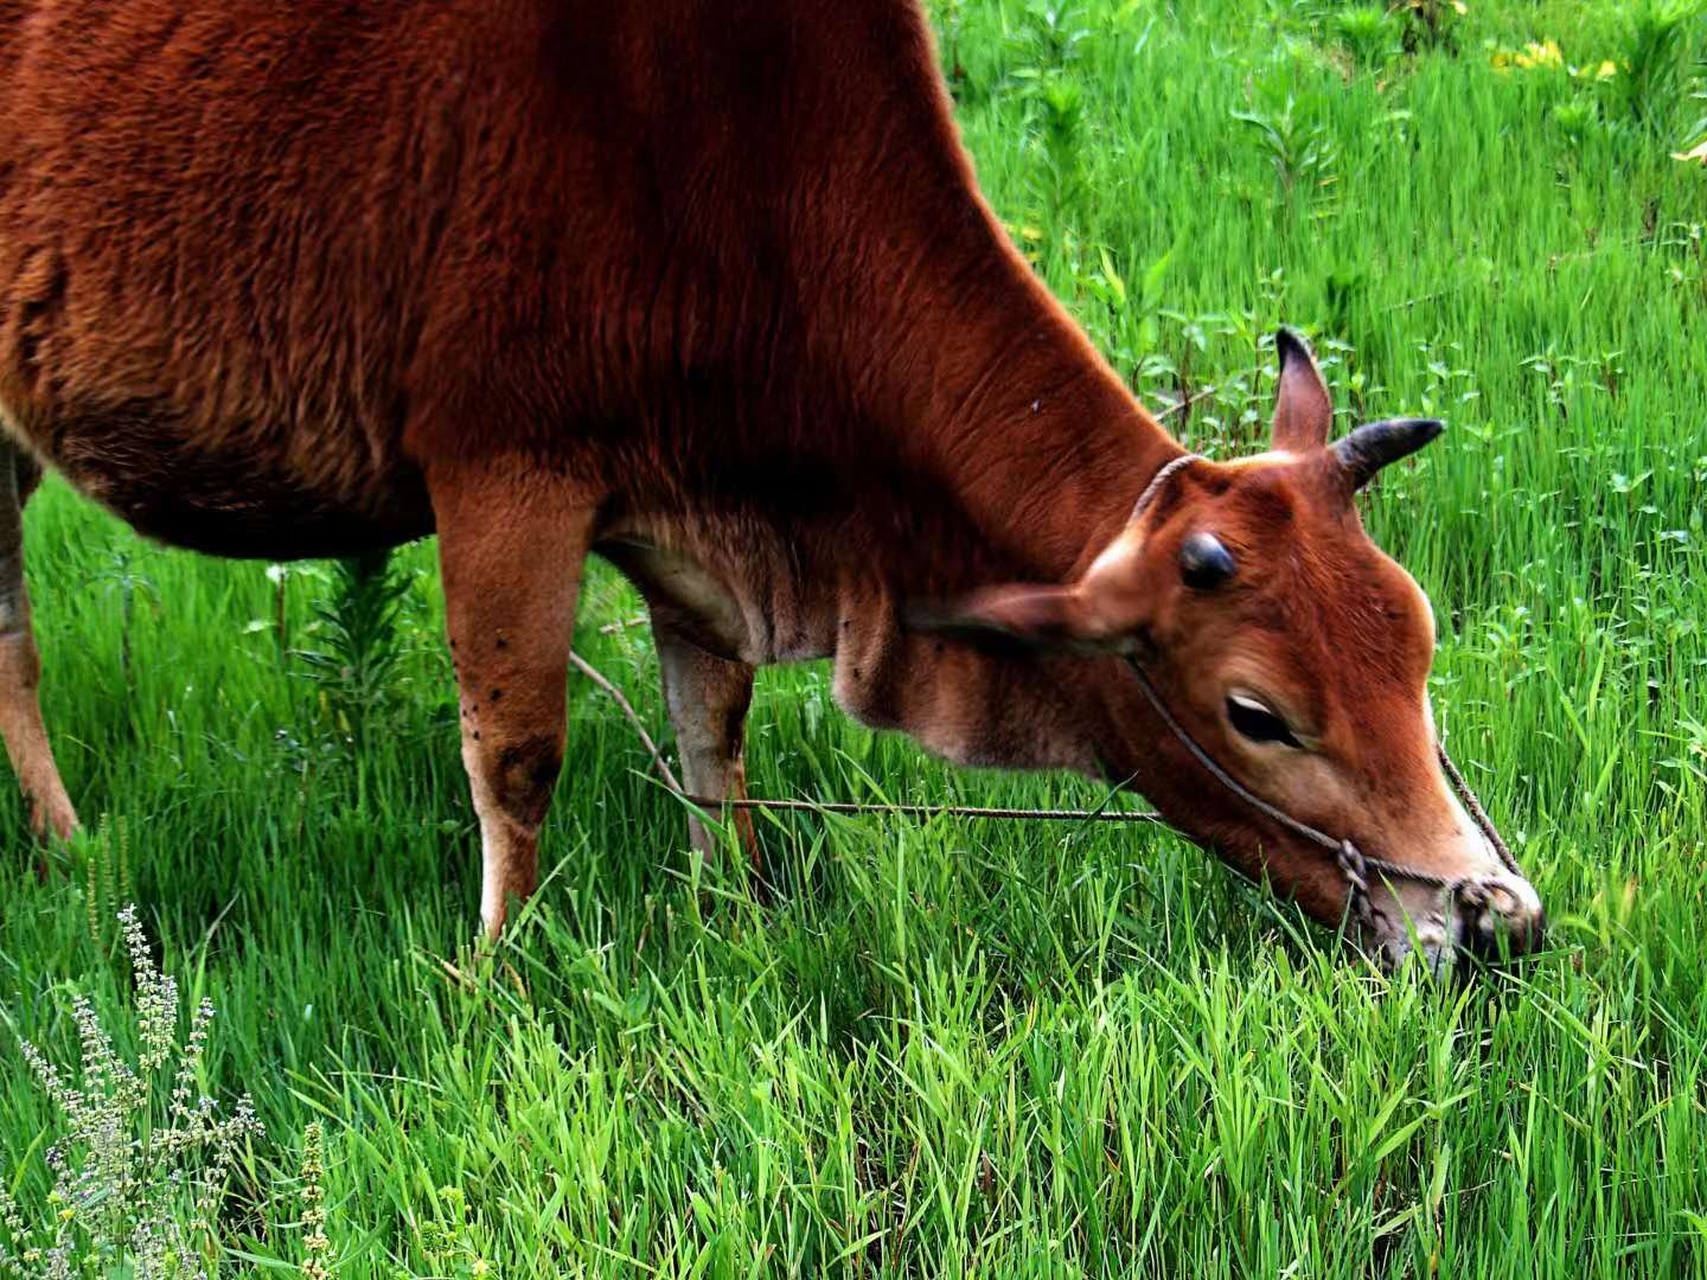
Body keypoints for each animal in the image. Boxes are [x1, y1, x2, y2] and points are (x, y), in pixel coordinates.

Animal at [0, 0, 1543, 969]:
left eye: (1414, 649)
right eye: (1253, 713)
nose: (1497, 921)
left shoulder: (700, 522)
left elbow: (712, 731)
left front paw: (733, 911)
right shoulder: (503, 471)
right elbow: (518, 753)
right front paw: (497, 973)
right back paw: (70, 851)